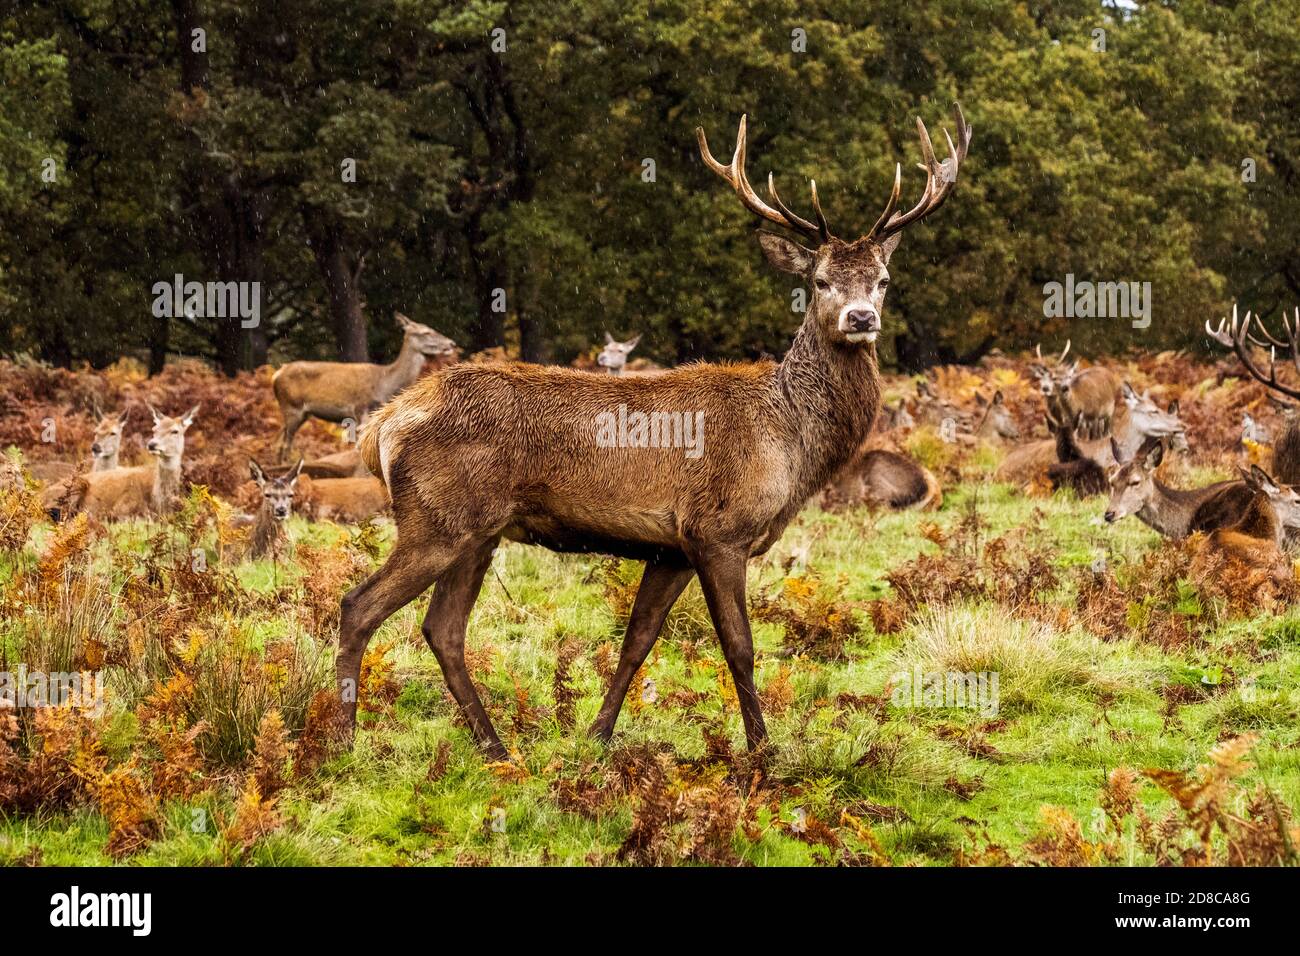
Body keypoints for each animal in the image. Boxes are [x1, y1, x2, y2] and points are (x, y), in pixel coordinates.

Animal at [272, 313, 457, 460]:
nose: (451, 343)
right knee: (284, 444)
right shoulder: (361, 409)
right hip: (291, 406)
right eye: (426, 332)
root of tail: (277, 374)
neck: (386, 384)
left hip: (301, 413)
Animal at [334, 105, 972, 760]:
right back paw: (344, 741)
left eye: (883, 279)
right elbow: (739, 647)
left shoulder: (671, 548)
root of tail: (383, 426)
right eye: (819, 280)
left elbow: (637, 640)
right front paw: (761, 751)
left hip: (478, 532)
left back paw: (496, 747)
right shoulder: (719, 529)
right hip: (437, 518)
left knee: (441, 628)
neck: (790, 444)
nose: (861, 318)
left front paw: (597, 735)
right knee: (358, 606)